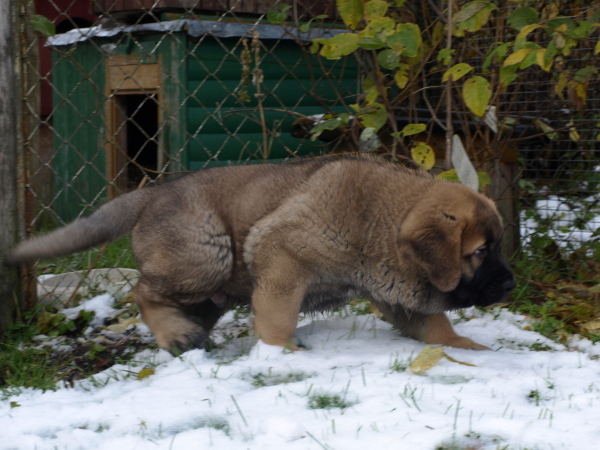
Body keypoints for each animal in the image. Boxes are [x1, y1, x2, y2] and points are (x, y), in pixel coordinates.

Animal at [5, 157, 516, 352]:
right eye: (480, 251)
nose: (511, 283)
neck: (382, 223)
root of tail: (151, 194)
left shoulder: (397, 290)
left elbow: (433, 324)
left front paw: (464, 347)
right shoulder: (280, 254)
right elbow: (278, 314)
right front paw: (280, 352)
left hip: (210, 285)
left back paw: (186, 334)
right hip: (207, 254)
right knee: (141, 290)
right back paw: (176, 335)